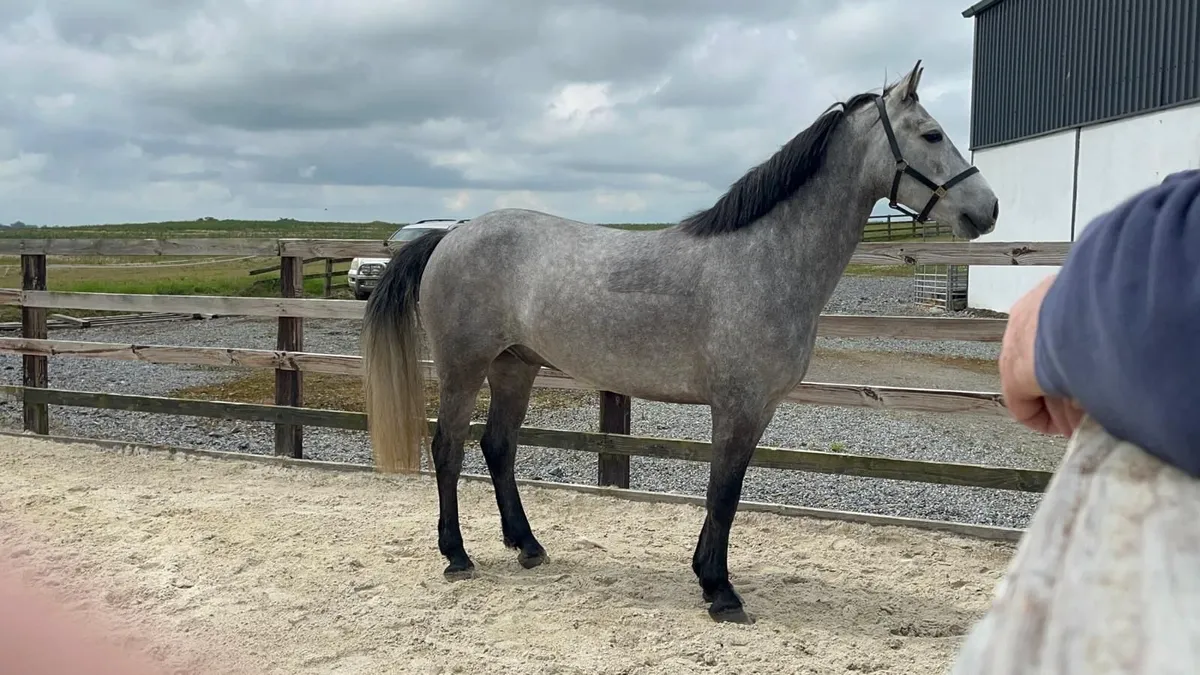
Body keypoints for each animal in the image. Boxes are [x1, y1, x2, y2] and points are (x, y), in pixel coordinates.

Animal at [360, 61, 999, 624]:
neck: (766, 258)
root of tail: (449, 236)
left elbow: (724, 493)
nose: (988, 209)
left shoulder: (757, 409)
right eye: (932, 133)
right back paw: (456, 555)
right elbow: (724, 493)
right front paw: (720, 592)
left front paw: (708, 578)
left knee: (498, 447)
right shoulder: (738, 407)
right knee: (448, 449)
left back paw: (528, 546)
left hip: (515, 366)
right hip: (463, 368)